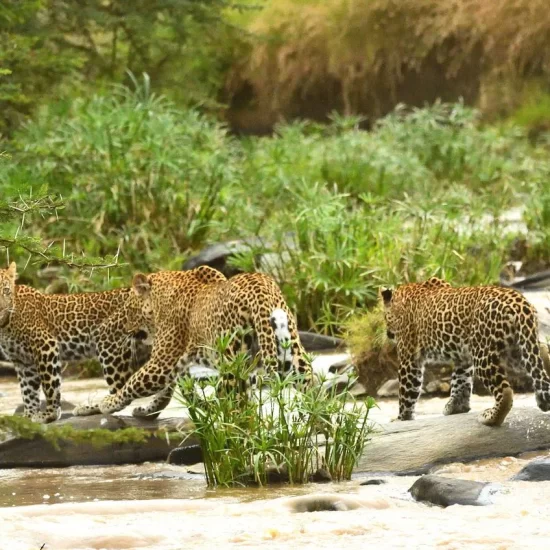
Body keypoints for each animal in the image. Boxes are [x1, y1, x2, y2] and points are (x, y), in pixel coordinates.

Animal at [0, 262, 151, 422]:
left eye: (6, 290)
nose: (1, 308)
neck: (5, 323)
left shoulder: (45, 345)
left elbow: (49, 384)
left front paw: (50, 413)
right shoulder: (22, 361)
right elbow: (28, 391)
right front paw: (28, 416)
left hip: (109, 344)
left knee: (119, 389)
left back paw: (91, 408)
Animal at [97, 268, 312, 418]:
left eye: (129, 310)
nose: (125, 329)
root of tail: (259, 288)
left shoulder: (161, 364)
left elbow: (132, 383)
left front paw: (108, 402)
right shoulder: (177, 364)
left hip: (233, 365)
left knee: (237, 405)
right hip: (291, 354)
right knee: (312, 390)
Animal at [382, 278, 550, 430]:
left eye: (384, 317)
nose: (388, 333)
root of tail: (520, 302)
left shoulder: (410, 359)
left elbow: (407, 391)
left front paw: (402, 418)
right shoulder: (463, 357)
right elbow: (460, 380)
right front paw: (457, 407)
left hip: (484, 354)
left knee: (506, 392)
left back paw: (489, 418)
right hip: (518, 349)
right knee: (539, 361)